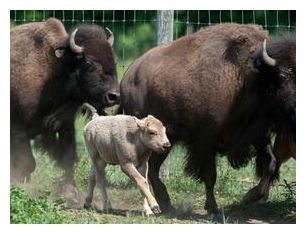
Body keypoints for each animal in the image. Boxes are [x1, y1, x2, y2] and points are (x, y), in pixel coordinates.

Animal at [9, 17, 119, 195]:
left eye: (114, 59)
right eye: (89, 63)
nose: (114, 95)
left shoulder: (64, 125)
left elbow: (68, 156)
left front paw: (70, 191)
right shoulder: (18, 128)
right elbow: (28, 162)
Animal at [120, 23, 296, 214]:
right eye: (283, 76)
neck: (248, 78)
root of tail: (128, 76)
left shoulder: (258, 135)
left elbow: (271, 163)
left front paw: (251, 196)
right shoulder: (206, 142)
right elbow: (210, 175)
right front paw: (213, 207)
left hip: (165, 141)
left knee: (152, 167)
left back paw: (166, 203)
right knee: (148, 168)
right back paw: (164, 203)